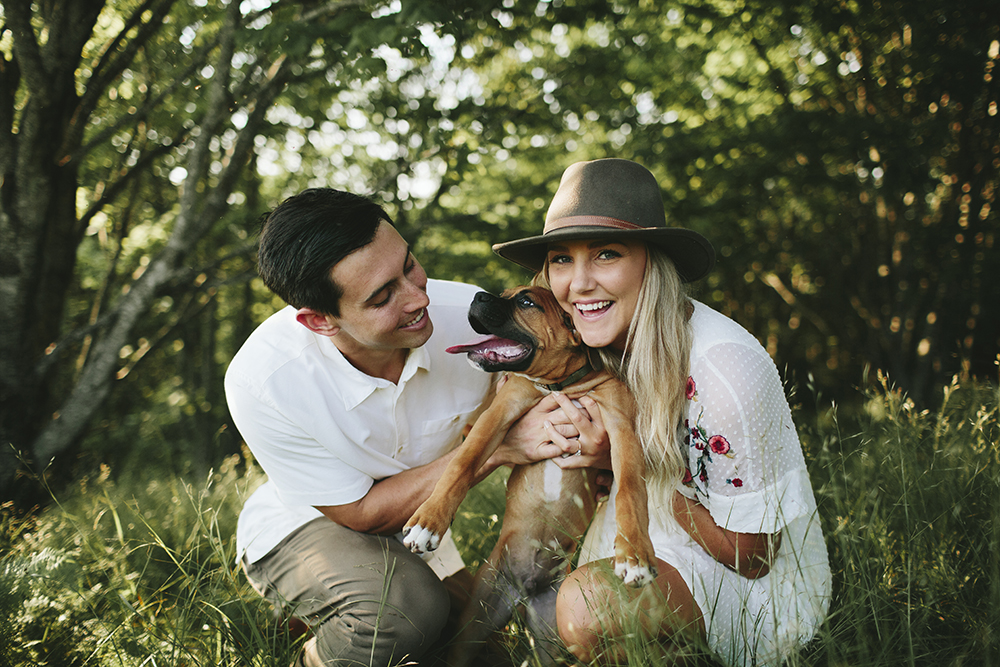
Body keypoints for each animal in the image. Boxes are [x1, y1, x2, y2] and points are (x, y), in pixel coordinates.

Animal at [402, 288, 660, 667]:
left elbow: (629, 490)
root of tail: (523, 594)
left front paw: (634, 554)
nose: (478, 295)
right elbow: (461, 464)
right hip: (476, 623)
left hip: (551, 636)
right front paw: (428, 523)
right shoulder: (499, 413)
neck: (560, 387)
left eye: (526, 302)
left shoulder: (621, 428)